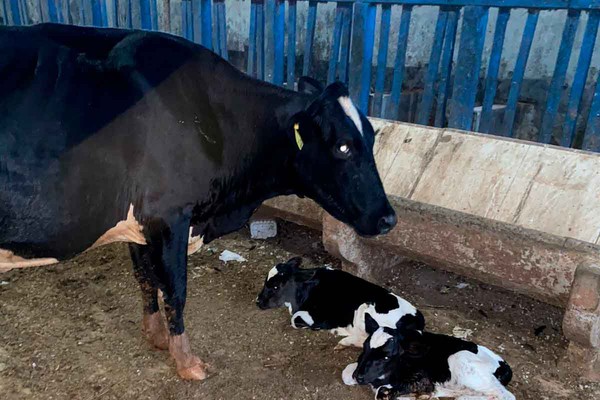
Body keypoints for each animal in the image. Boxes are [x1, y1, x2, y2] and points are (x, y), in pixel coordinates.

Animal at [0, 23, 396, 380]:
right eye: (343, 146)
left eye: (372, 137)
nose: (389, 218)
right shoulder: (169, 214)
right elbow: (176, 290)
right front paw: (188, 363)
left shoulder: (140, 222)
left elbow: (145, 278)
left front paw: (156, 337)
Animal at [255, 258, 424, 348]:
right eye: (265, 282)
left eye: (276, 286)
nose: (258, 301)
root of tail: (418, 319)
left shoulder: (319, 315)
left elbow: (295, 319)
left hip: (365, 309)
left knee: (366, 338)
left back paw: (343, 337)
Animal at [344, 316, 516, 400]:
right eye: (365, 348)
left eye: (386, 357)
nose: (359, 377)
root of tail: (504, 365)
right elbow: (345, 373)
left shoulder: (422, 378)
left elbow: (382, 391)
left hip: (459, 358)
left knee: (506, 395)